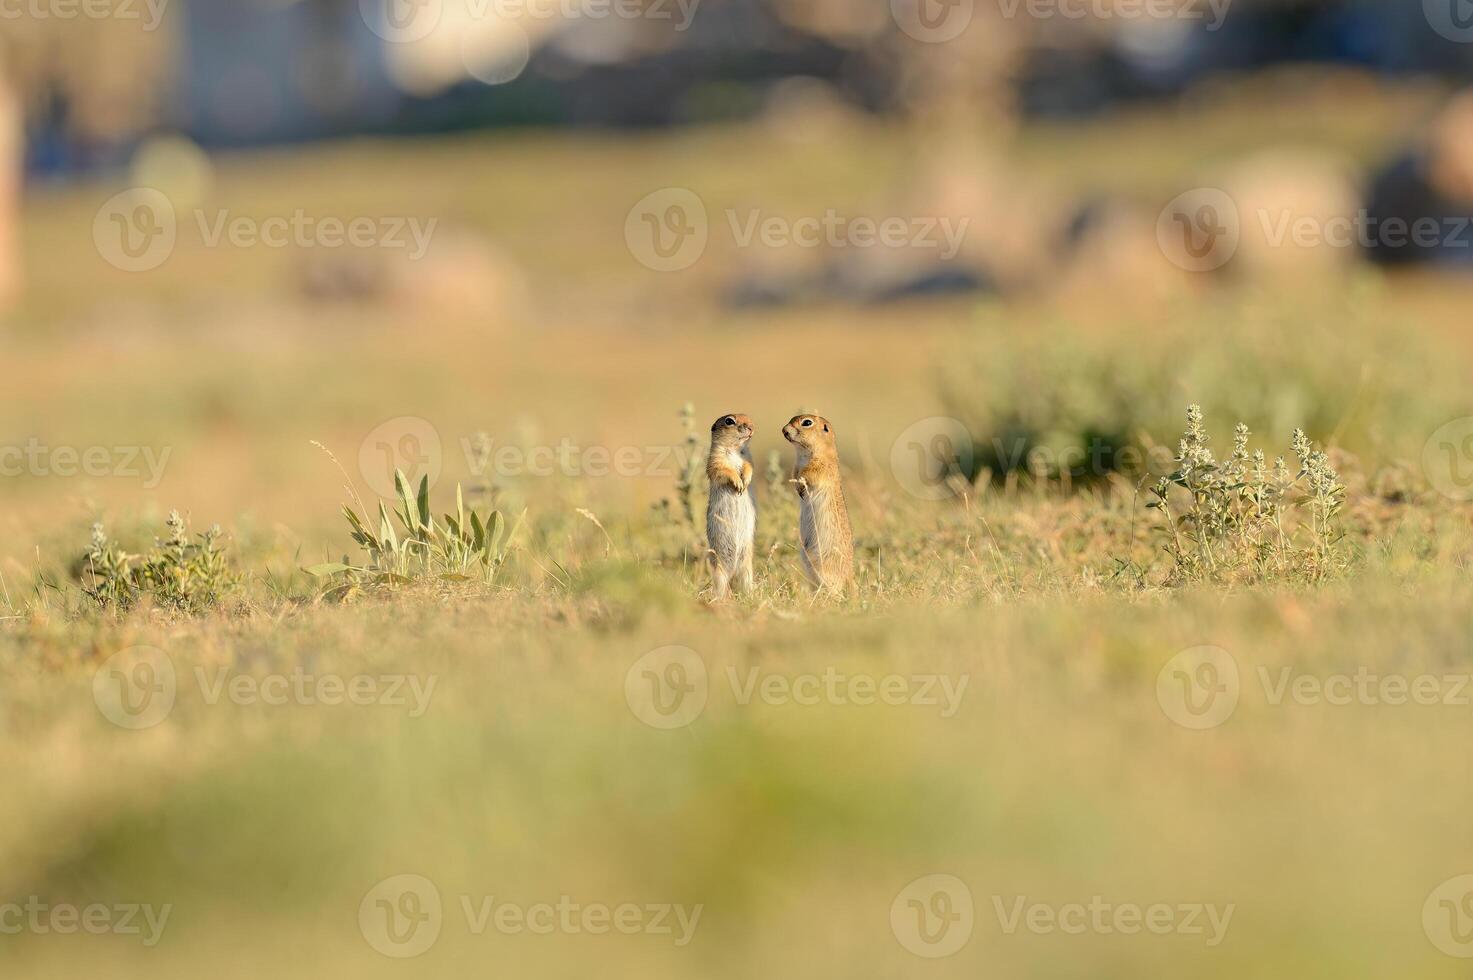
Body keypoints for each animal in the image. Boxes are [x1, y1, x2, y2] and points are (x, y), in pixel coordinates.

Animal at [704, 409, 754, 601]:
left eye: (748, 417)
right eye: (729, 421)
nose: (751, 427)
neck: (733, 450)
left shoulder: (746, 460)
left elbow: (748, 467)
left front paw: (745, 482)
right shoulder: (716, 461)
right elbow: (724, 470)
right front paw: (738, 483)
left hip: (747, 570)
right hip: (718, 571)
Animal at [783, 409, 854, 592]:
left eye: (807, 423)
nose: (784, 430)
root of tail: (849, 574)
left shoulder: (820, 466)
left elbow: (808, 474)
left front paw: (801, 489)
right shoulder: (796, 466)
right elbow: (795, 473)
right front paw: (798, 490)